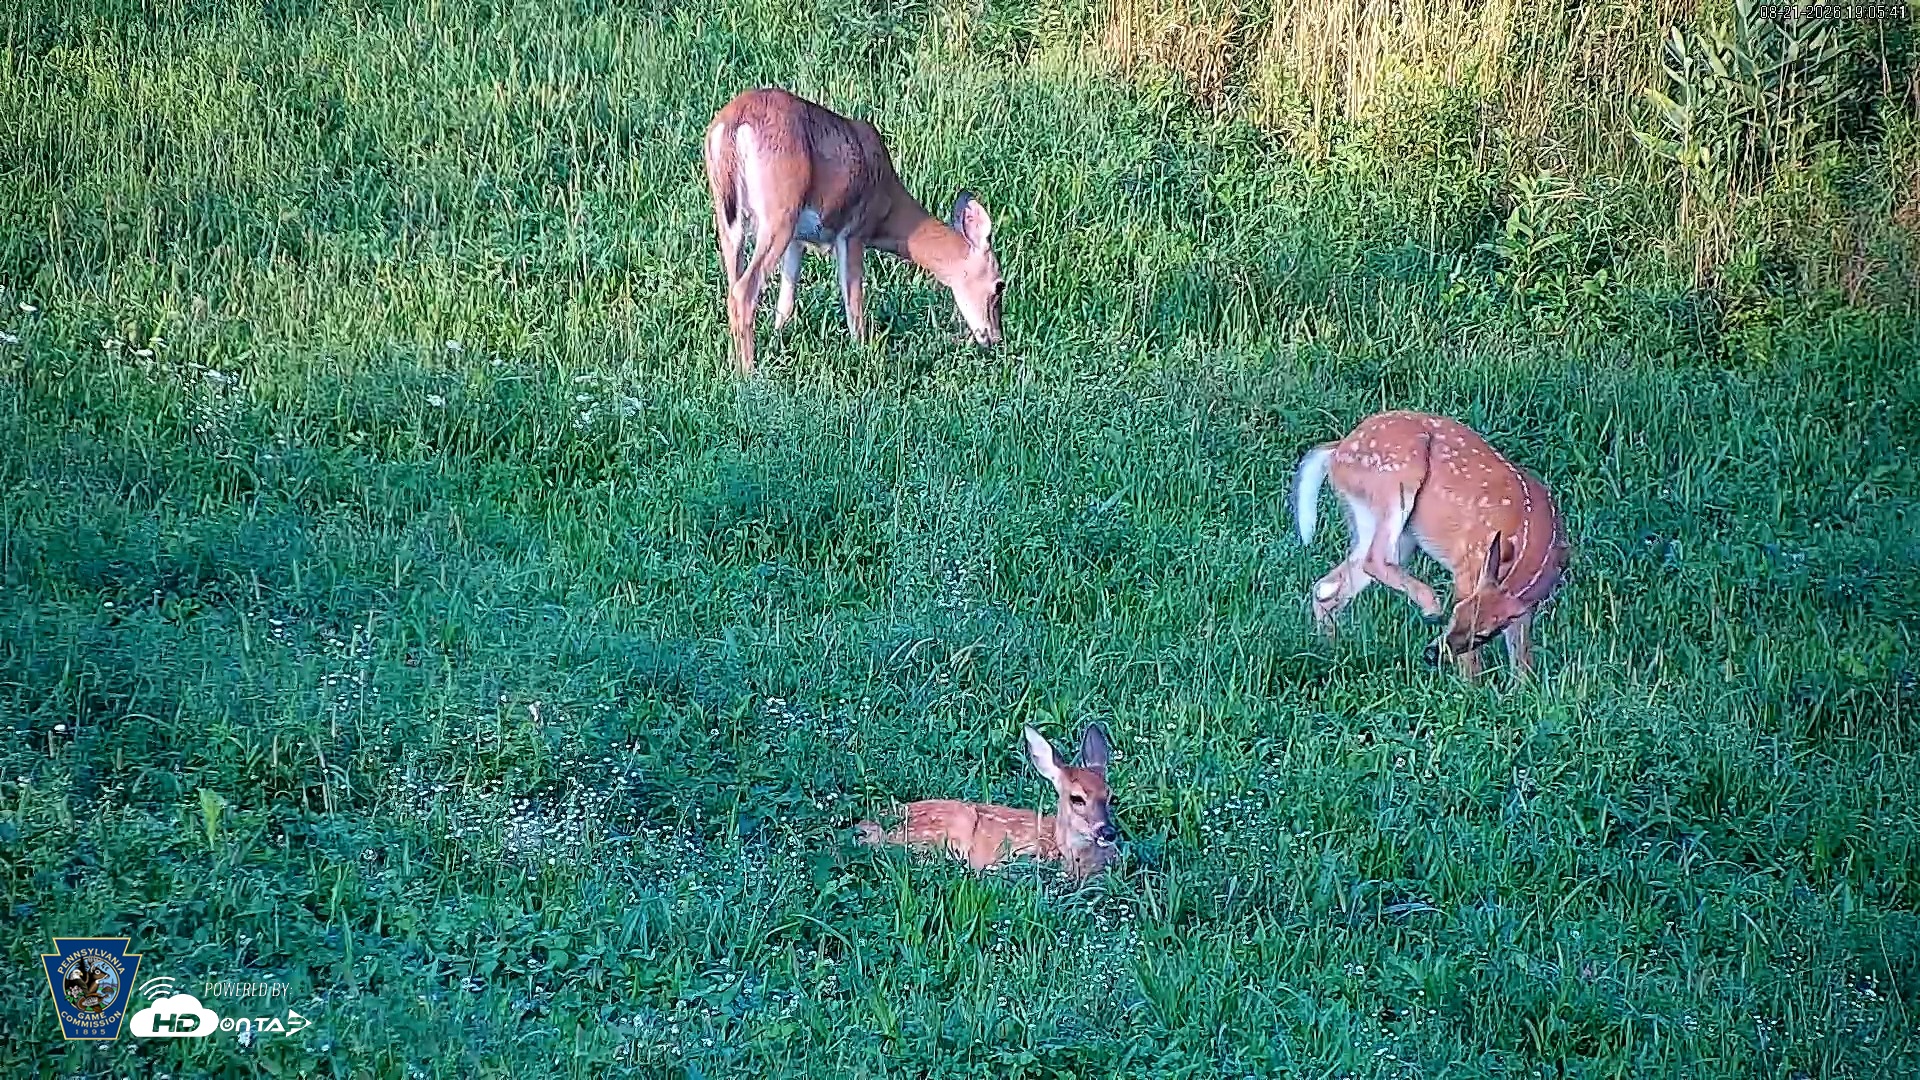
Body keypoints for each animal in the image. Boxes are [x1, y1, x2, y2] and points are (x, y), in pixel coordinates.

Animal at [703, 87, 1004, 374]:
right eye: (1000, 285)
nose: (995, 338)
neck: (887, 201)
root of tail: (734, 124)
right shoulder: (853, 231)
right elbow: (854, 304)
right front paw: (863, 353)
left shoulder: (799, 239)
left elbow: (786, 304)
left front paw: (779, 343)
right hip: (779, 214)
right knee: (744, 290)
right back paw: (749, 373)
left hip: (728, 216)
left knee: (733, 285)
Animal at [1292, 410, 1570, 678]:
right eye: (1456, 612)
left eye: (1484, 633)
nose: (1431, 654)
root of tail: (1336, 450)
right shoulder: (1468, 565)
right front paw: (1472, 689)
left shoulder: (1520, 607)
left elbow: (1522, 658)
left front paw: (1523, 688)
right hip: (1396, 481)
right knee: (1373, 560)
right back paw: (1430, 606)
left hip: (1387, 530)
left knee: (1328, 587)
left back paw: (1329, 652)